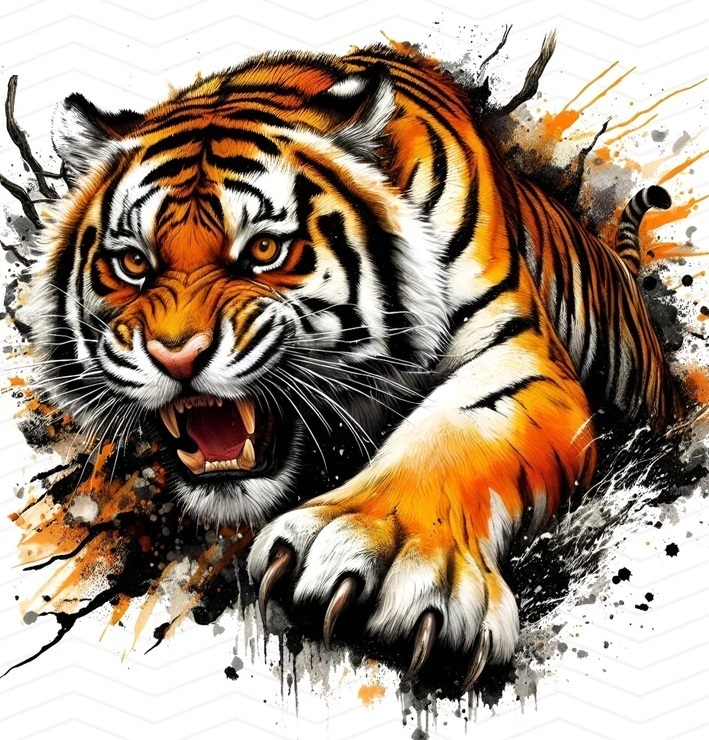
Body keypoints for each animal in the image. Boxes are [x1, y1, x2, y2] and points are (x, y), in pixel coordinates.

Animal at [29, 42, 683, 692]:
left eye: (265, 250)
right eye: (133, 263)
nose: (177, 354)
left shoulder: (520, 352)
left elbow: (454, 430)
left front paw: (387, 551)